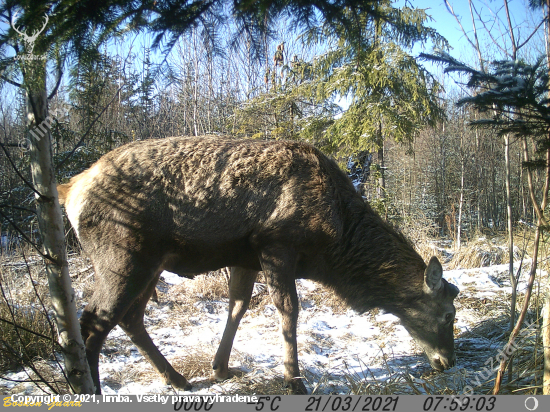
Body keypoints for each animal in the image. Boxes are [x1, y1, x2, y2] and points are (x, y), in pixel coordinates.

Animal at [57, 135, 462, 392]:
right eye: (448, 315)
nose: (449, 361)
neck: (334, 244)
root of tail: (70, 189)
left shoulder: (245, 257)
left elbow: (237, 307)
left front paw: (221, 368)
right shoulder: (276, 244)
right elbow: (289, 310)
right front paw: (294, 380)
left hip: (151, 262)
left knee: (130, 318)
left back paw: (177, 379)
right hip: (122, 256)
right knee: (92, 324)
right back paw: (91, 390)